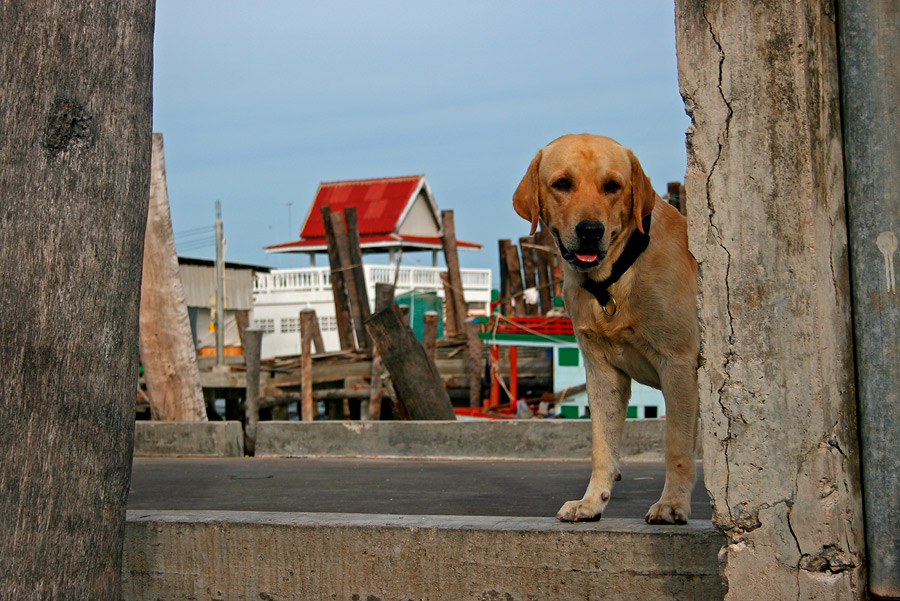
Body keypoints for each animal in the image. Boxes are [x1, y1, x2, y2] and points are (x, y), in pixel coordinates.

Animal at [512, 135, 704, 520]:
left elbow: (676, 447)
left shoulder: (678, 364)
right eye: (562, 184)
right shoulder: (601, 371)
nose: (590, 231)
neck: (614, 279)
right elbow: (603, 446)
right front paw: (590, 502)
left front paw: (672, 503)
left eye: (613, 186)